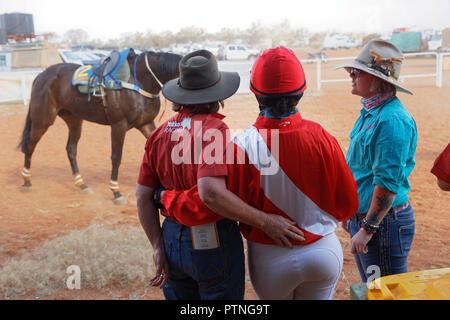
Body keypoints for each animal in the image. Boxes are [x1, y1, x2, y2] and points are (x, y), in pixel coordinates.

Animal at [17, 50, 183, 205]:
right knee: (30, 146)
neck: (138, 81)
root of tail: (42, 75)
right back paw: (27, 181)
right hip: (42, 120)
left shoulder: (146, 124)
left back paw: (81, 184)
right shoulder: (118, 125)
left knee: (71, 149)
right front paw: (116, 192)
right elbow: (116, 157)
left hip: (74, 120)